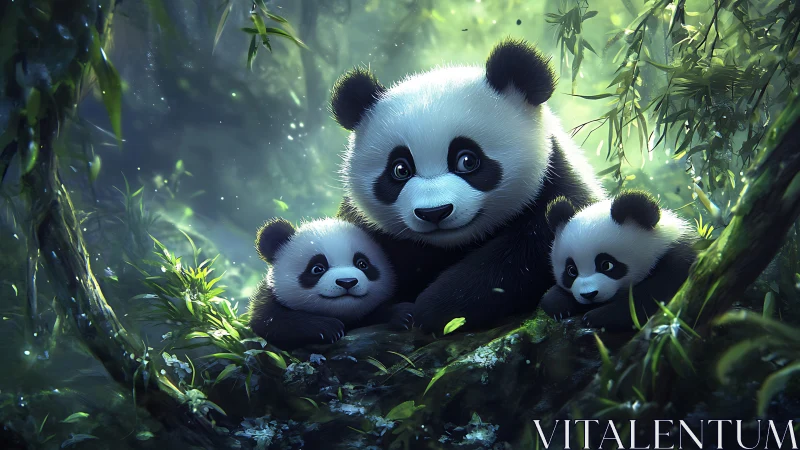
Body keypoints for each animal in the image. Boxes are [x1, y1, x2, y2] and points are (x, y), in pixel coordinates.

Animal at [248, 217, 413, 350]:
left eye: (362, 264)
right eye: (317, 268)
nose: (347, 282)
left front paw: (403, 314)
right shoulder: (269, 300)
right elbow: (272, 322)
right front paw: (327, 327)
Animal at [330, 38, 605, 333]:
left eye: (467, 160)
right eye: (400, 169)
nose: (434, 213)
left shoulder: (556, 186)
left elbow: (527, 254)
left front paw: (436, 308)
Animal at [541, 190, 698, 330]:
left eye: (606, 265)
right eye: (571, 271)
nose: (588, 295)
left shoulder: (677, 263)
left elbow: (653, 299)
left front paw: (596, 317)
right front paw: (558, 304)